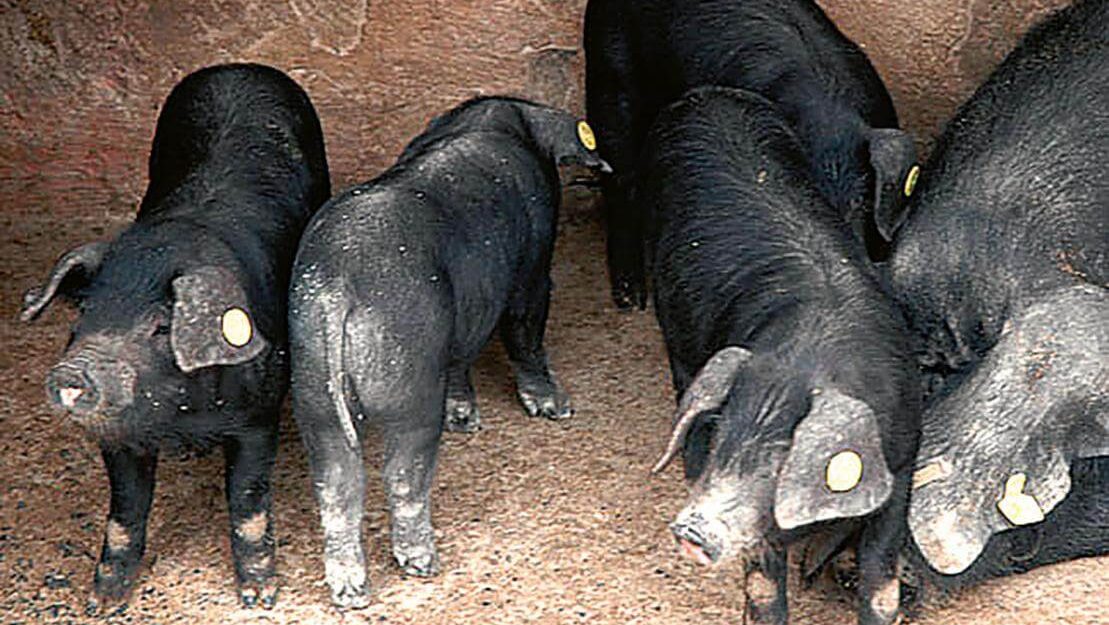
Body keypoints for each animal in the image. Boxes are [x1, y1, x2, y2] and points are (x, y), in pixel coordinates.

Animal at [20, 63, 331, 611]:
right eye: (84, 314)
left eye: (160, 327)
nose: (73, 373)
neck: (181, 420)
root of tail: (237, 67)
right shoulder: (118, 436)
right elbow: (124, 515)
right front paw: (102, 603)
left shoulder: (257, 417)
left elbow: (248, 502)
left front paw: (260, 597)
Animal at [288, 96, 610, 608]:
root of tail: (340, 286)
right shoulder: (532, 267)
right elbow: (525, 329)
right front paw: (557, 409)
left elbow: (463, 357)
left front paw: (465, 419)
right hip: (407, 379)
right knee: (402, 472)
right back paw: (422, 563)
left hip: (312, 385)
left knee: (336, 484)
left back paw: (351, 592)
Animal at [643, 86, 920, 625]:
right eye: (722, 441)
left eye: (780, 465)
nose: (691, 530)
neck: (804, 362)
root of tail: (706, 96)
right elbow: (763, 589)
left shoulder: (902, 465)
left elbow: (882, 582)